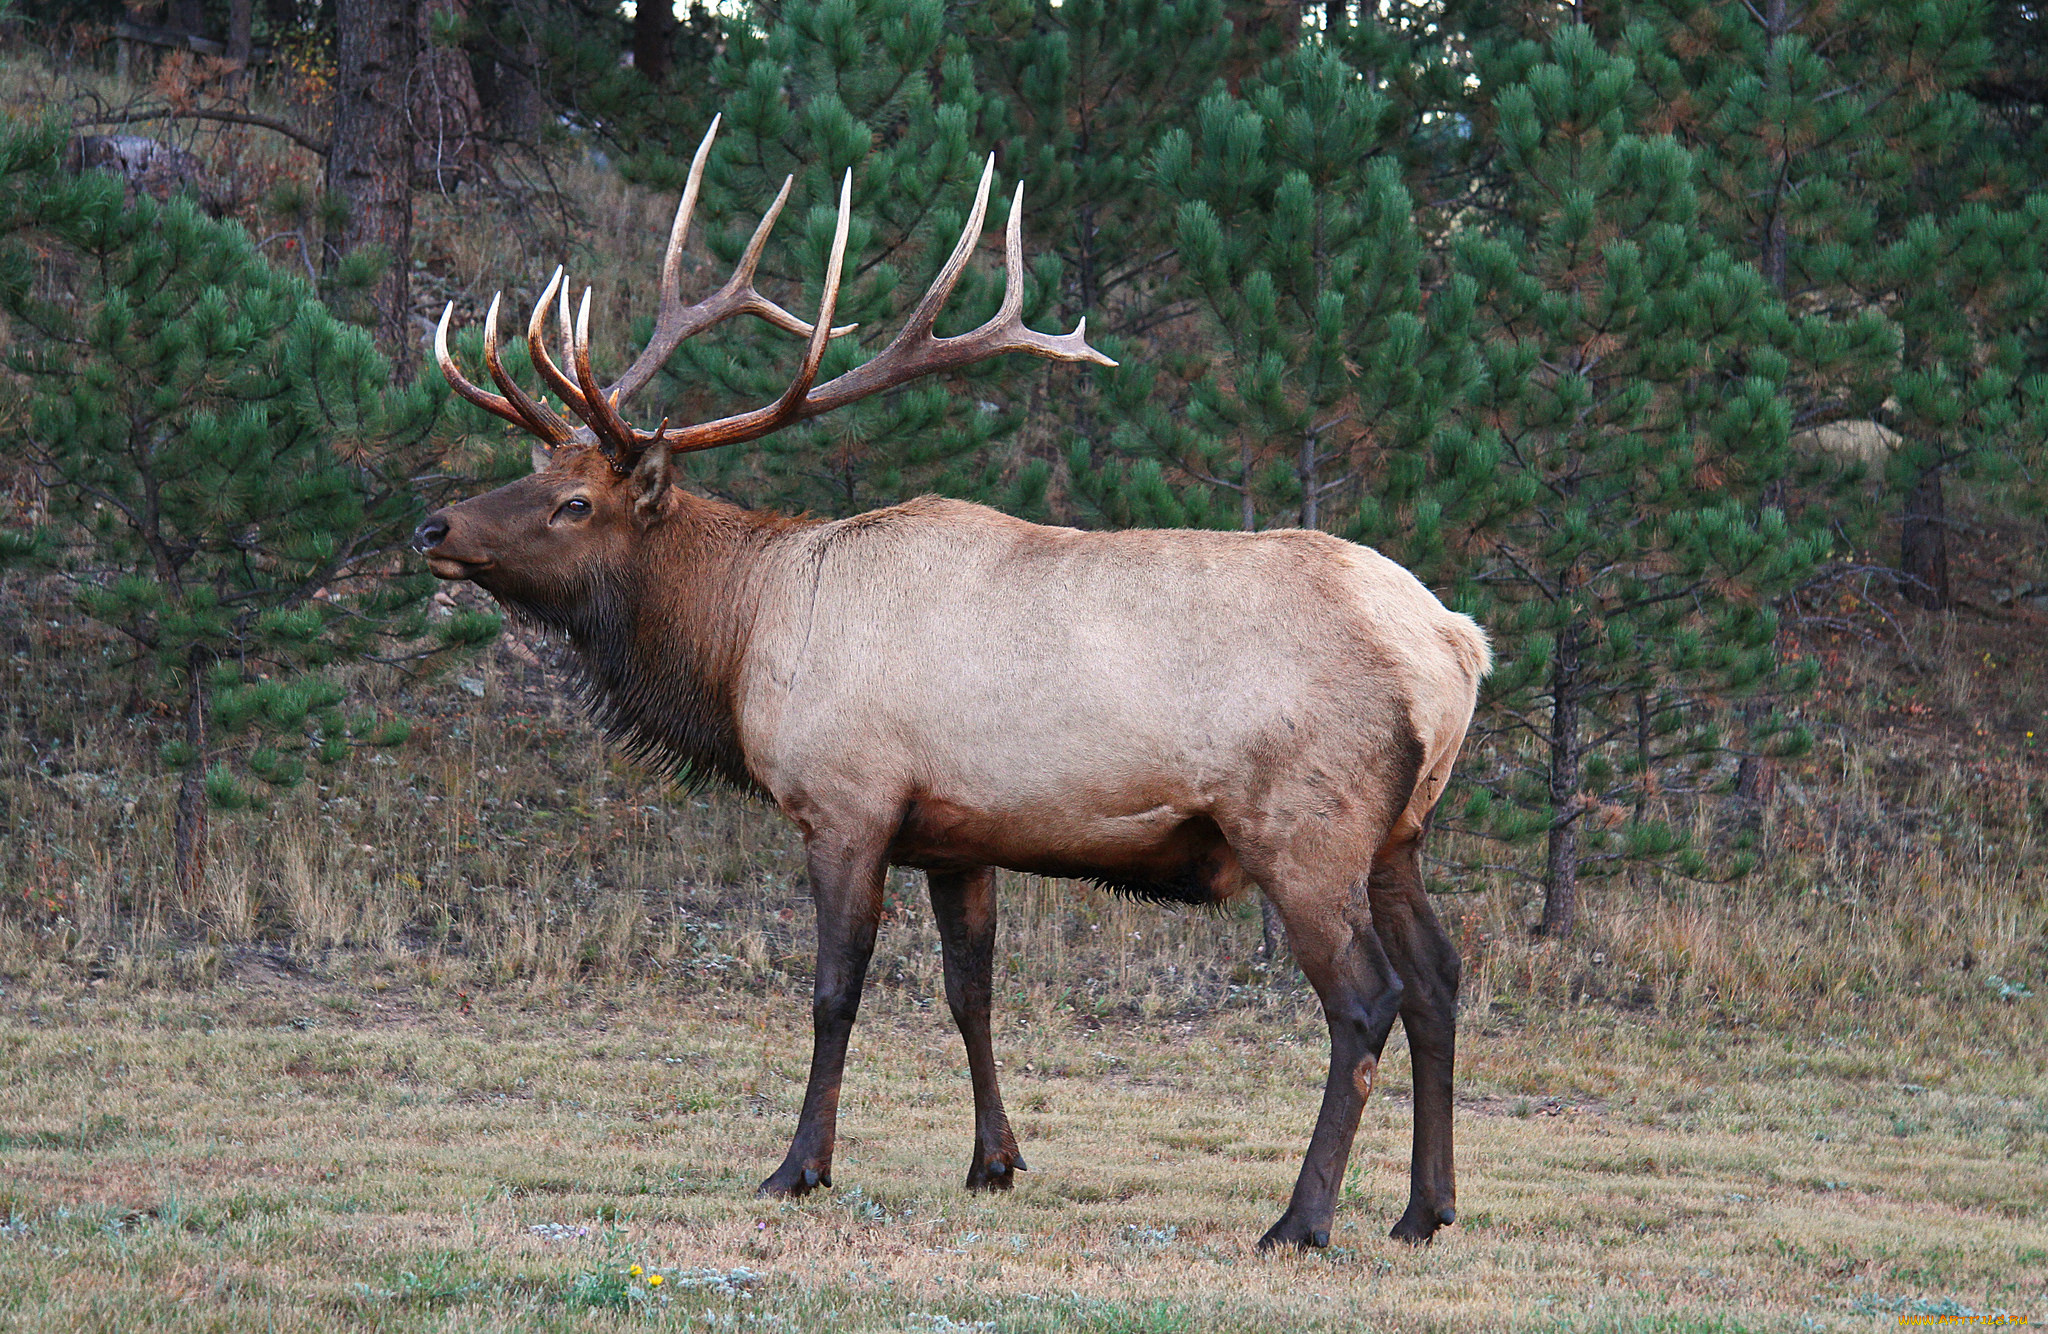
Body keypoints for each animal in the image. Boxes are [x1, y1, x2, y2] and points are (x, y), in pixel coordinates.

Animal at [415, 117, 1499, 1254]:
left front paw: (798, 1166)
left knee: (1366, 1000)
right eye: (533, 471)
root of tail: (1455, 645)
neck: (744, 637)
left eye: (575, 502)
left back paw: (1301, 1217)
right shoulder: (957, 833)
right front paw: (994, 1160)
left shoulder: (847, 803)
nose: (434, 526)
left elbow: (834, 991)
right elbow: (968, 992)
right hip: (1399, 831)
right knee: (1438, 981)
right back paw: (1424, 1209)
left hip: (1303, 824)